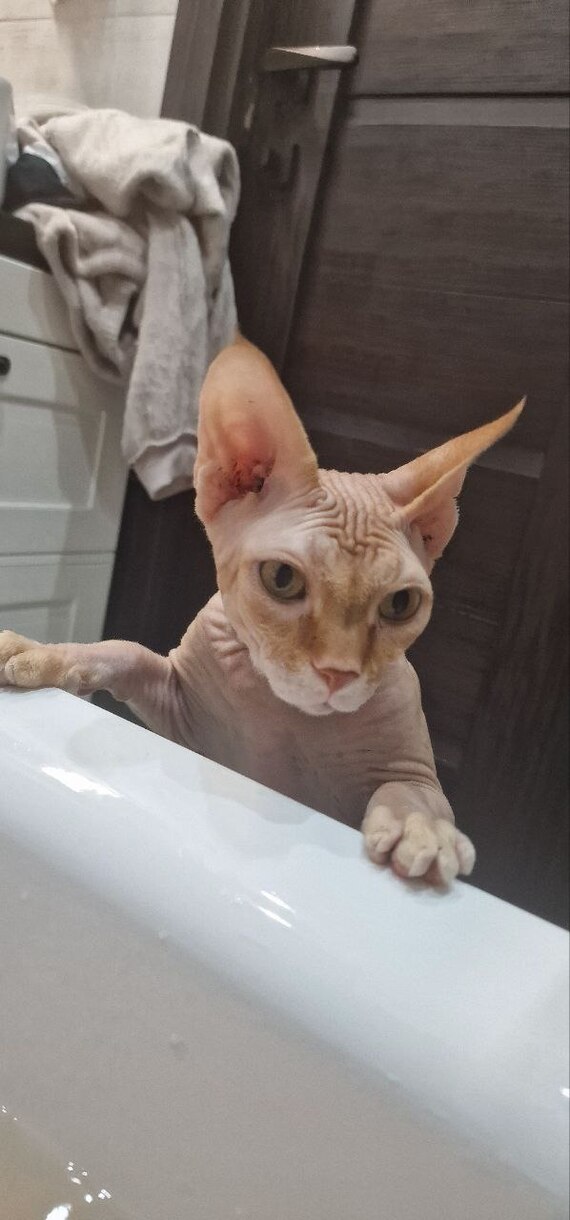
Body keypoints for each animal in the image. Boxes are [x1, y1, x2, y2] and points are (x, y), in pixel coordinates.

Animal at [0, 337, 523, 885]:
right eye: (282, 579)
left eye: (400, 604)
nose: (338, 674)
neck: (282, 709)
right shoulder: (180, 715)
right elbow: (126, 649)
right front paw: (46, 653)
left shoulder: (411, 769)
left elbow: (414, 792)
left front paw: (420, 828)